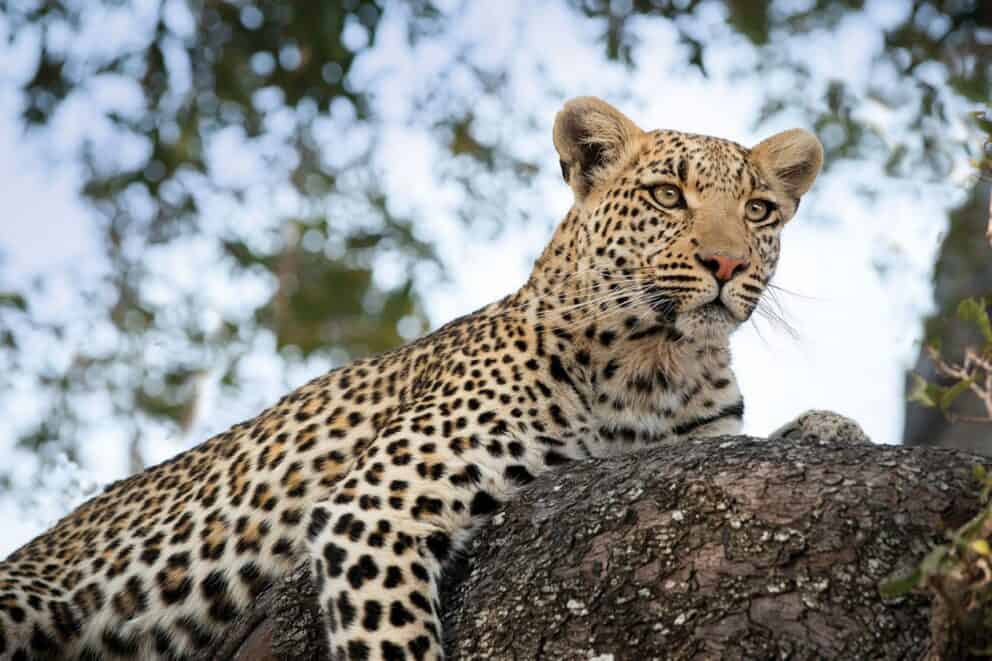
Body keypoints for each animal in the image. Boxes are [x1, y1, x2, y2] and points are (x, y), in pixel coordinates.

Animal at [0, 96, 822, 661]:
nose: (728, 264)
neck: (661, 366)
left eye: (759, 210)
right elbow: (397, 643)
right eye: (666, 195)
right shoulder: (372, 510)